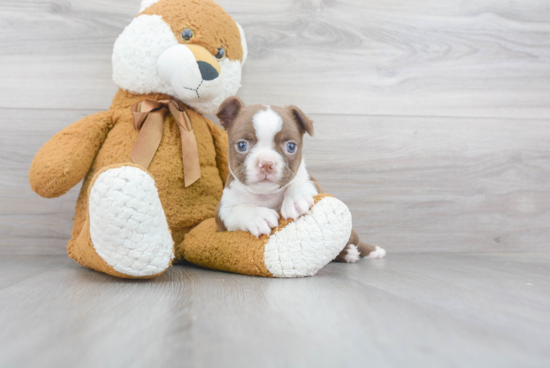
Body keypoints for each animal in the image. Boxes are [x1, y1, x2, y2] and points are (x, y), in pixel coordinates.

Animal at [213, 95, 386, 262]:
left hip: (351, 234)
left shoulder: (314, 182)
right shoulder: (222, 214)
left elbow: (299, 184)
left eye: (291, 147)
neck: (265, 195)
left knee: (354, 242)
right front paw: (258, 216)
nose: (267, 163)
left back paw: (368, 251)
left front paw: (295, 200)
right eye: (242, 145)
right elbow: (238, 210)